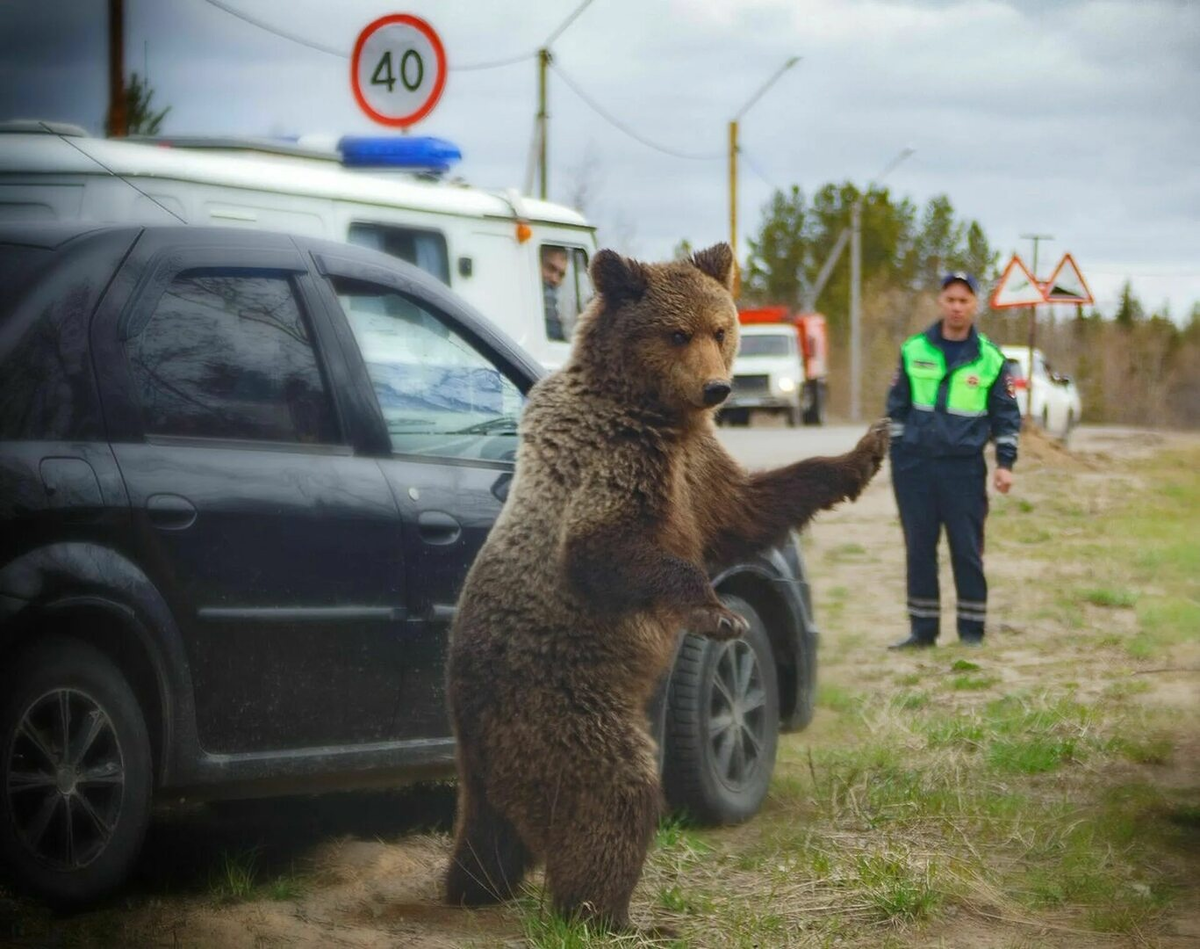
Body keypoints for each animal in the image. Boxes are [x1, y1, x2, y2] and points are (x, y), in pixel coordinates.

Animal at [446, 239, 888, 926]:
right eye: (677, 333)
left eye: (720, 328)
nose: (718, 387)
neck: (656, 410)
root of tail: (465, 721)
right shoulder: (617, 459)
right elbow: (606, 547)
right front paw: (717, 611)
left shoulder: (697, 468)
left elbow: (749, 507)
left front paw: (864, 451)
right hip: (564, 703)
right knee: (612, 797)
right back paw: (605, 913)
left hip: (501, 759)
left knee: (493, 835)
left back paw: (472, 885)